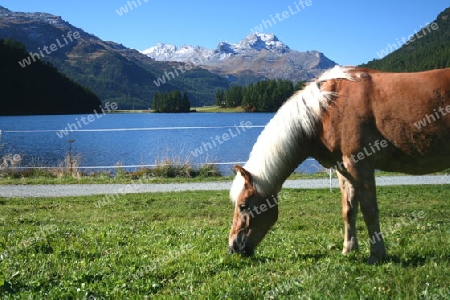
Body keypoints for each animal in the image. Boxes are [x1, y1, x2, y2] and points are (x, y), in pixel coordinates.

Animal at [229, 65, 450, 262]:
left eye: (243, 206)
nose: (233, 247)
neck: (327, 108)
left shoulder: (360, 165)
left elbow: (370, 211)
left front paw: (377, 254)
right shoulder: (344, 169)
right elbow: (349, 210)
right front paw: (348, 250)